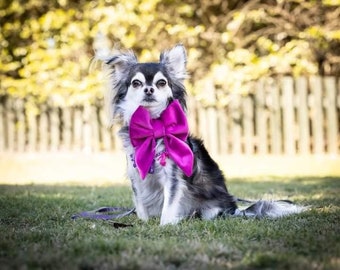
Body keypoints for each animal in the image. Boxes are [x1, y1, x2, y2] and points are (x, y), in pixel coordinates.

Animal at [98, 44, 306, 226]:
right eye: (136, 83)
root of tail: (233, 209)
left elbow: (169, 205)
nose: (148, 89)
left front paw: (165, 225)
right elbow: (140, 203)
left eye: (161, 83)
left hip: (211, 210)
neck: (152, 126)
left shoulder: (172, 178)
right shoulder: (135, 175)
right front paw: (144, 222)